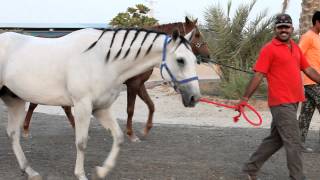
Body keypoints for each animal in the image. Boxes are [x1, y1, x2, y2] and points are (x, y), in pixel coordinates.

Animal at [0, 27, 200, 179]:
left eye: (195, 60)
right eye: (180, 60)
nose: (194, 98)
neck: (102, 61)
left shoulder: (101, 108)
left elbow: (118, 137)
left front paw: (102, 171)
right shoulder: (82, 106)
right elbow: (81, 142)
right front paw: (81, 174)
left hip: (14, 100)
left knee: (13, 134)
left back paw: (30, 171)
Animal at [21, 16, 209, 142]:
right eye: (197, 35)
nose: (208, 55)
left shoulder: (140, 84)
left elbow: (151, 105)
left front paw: (146, 130)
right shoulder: (133, 85)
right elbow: (130, 109)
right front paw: (131, 134)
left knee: (62, 107)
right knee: (35, 104)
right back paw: (26, 130)